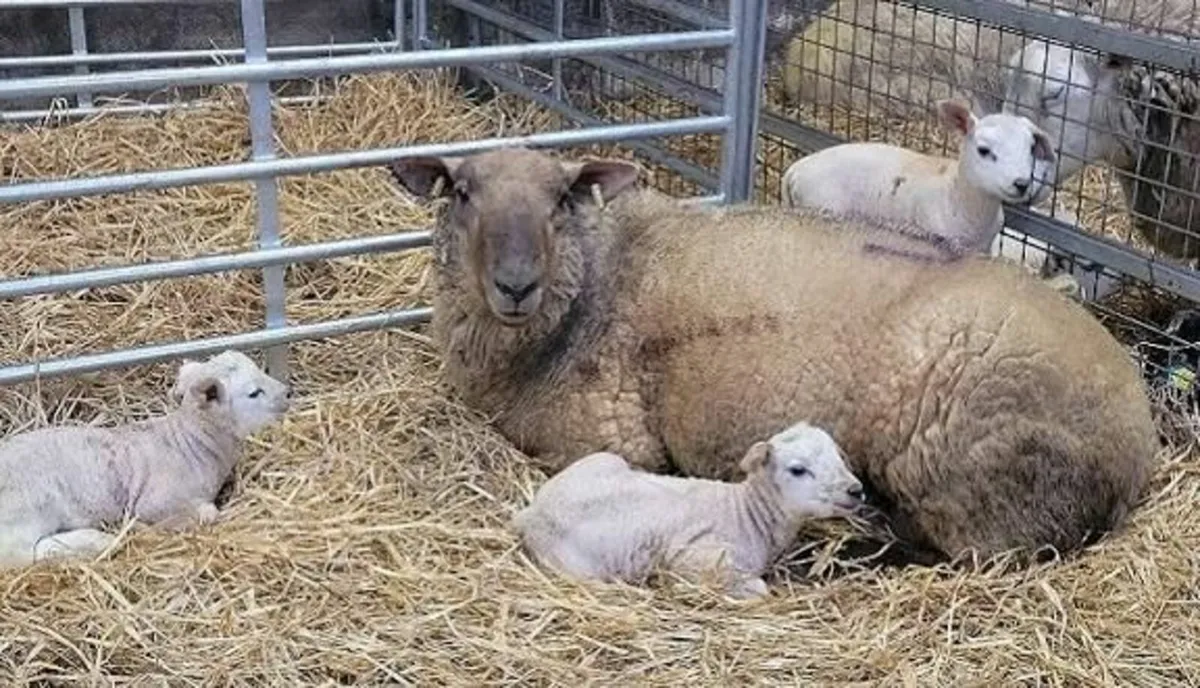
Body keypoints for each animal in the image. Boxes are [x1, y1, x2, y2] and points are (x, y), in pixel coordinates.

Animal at [0, 349, 291, 569]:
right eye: (254, 392)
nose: (289, 392)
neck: (190, 444)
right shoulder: (154, 503)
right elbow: (207, 512)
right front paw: (141, 528)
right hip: (25, 511)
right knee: (19, 554)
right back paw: (96, 541)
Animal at [387, 146, 1160, 566]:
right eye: (461, 192)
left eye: (560, 199)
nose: (516, 285)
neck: (593, 285)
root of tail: (1138, 448)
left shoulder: (605, 439)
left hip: (967, 479)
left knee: (941, 548)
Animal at [513, 421, 864, 600]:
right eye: (797, 470)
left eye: (838, 455)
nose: (856, 490)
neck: (747, 513)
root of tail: (532, 513)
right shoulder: (696, 559)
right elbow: (759, 589)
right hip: (581, 570)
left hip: (605, 459)